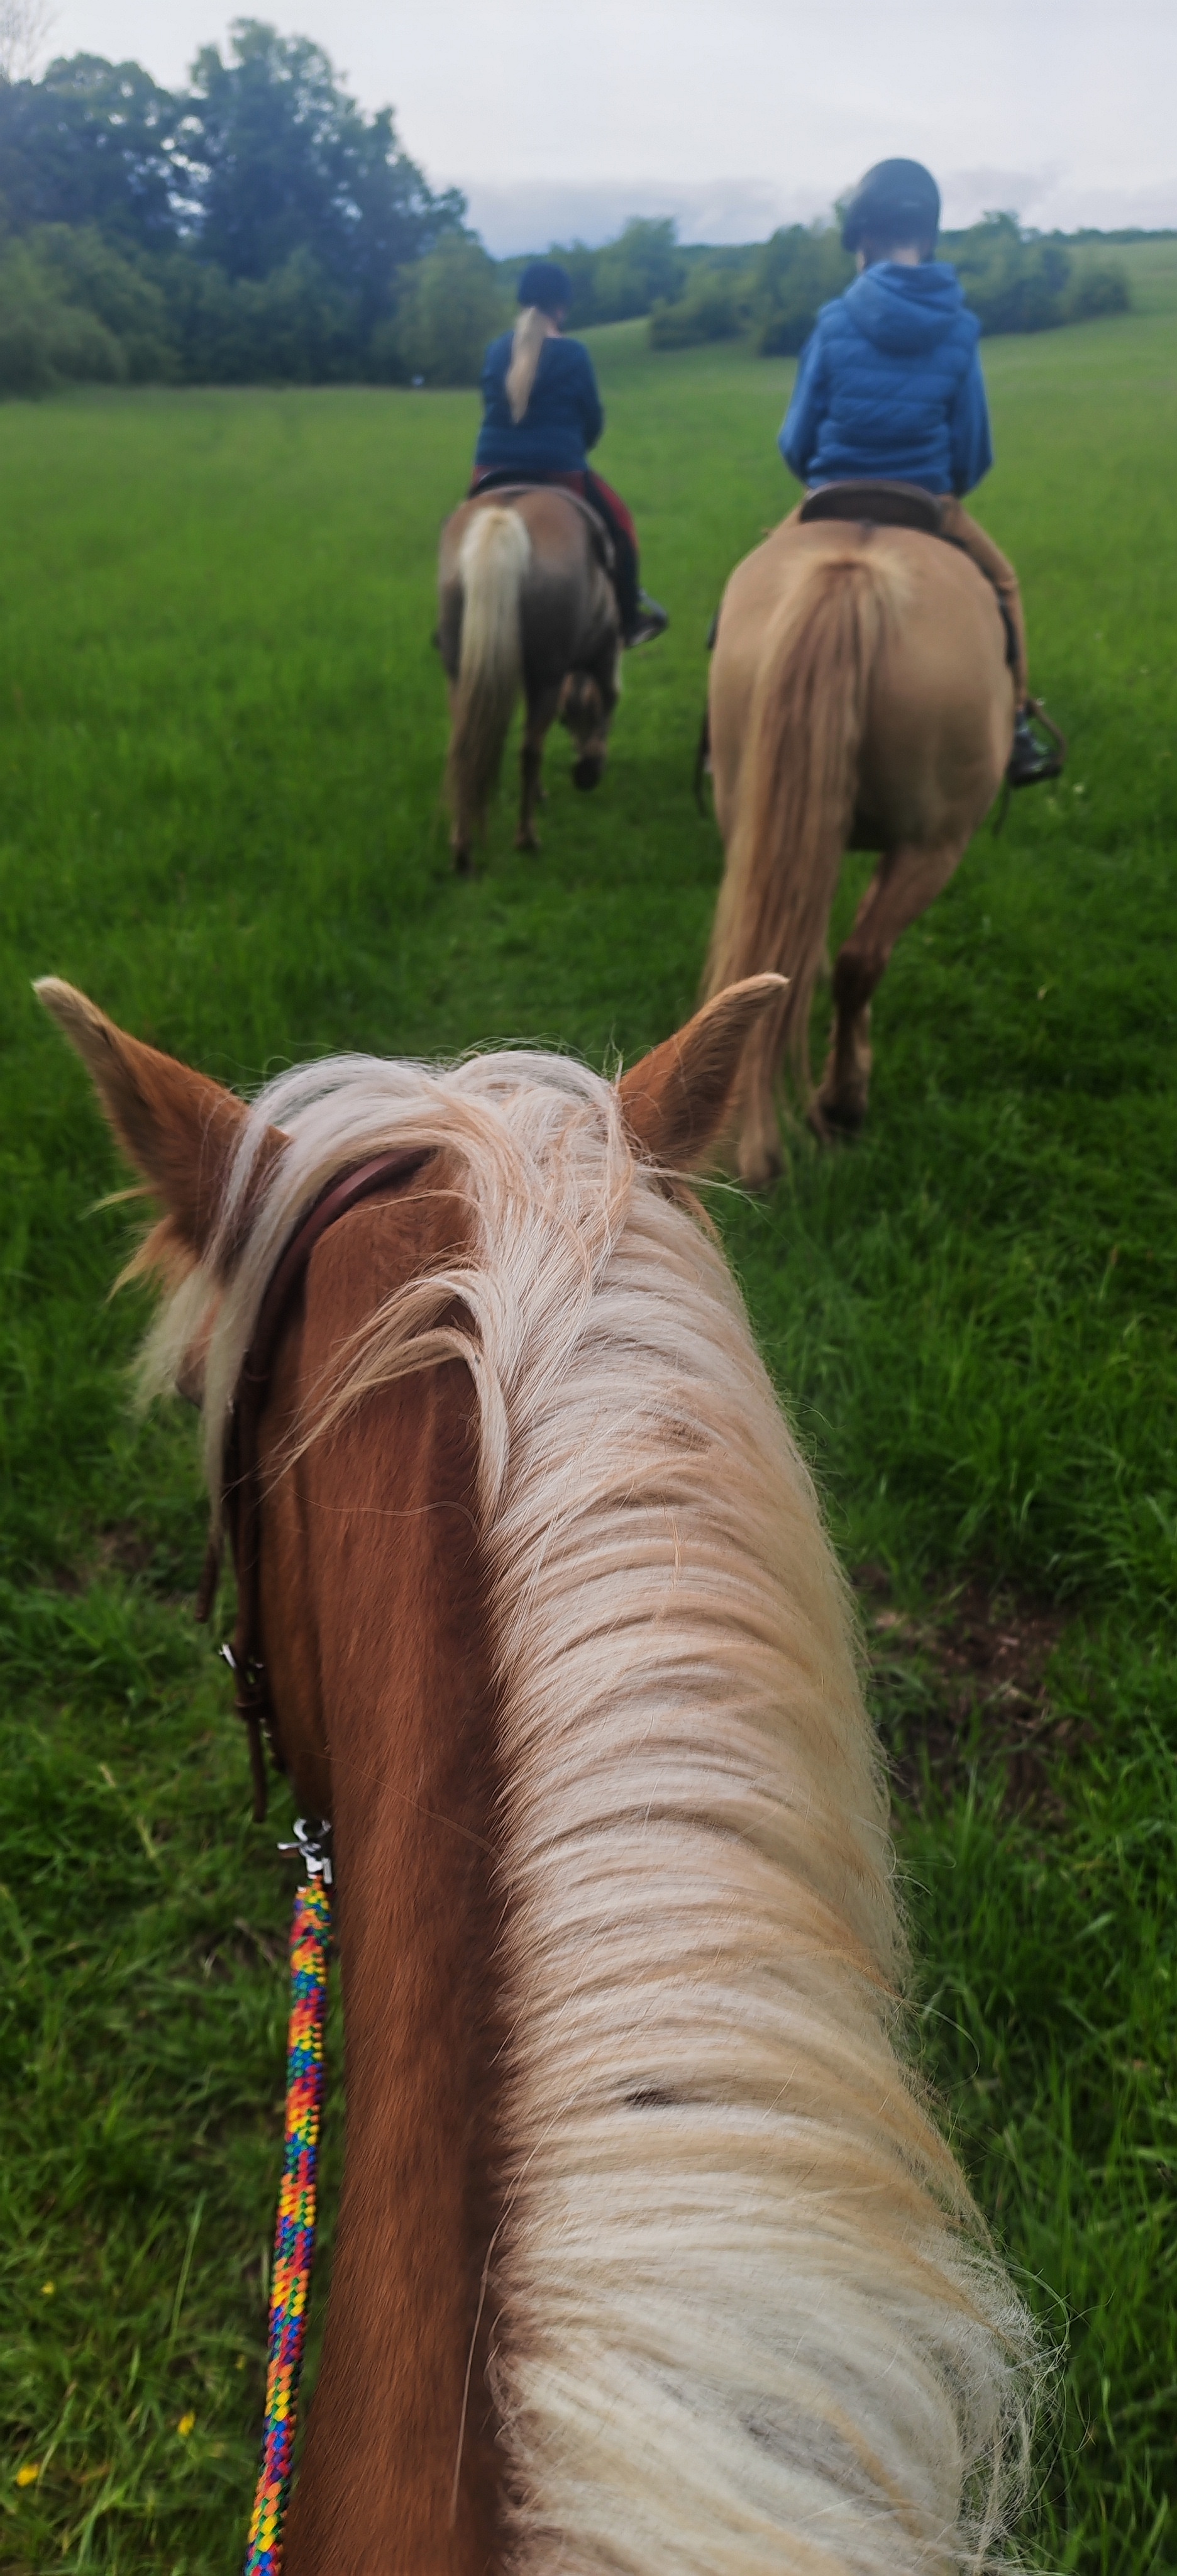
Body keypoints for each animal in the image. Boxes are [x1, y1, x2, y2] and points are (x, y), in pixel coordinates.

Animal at [438, 488, 621, 874]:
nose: (585, 769)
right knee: (530, 750)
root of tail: (506, 517)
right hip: (548, 677)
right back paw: (526, 837)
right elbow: (609, 699)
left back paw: (461, 847)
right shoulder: (605, 652)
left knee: (463, 747)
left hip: (459, 673)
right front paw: (590, 766)